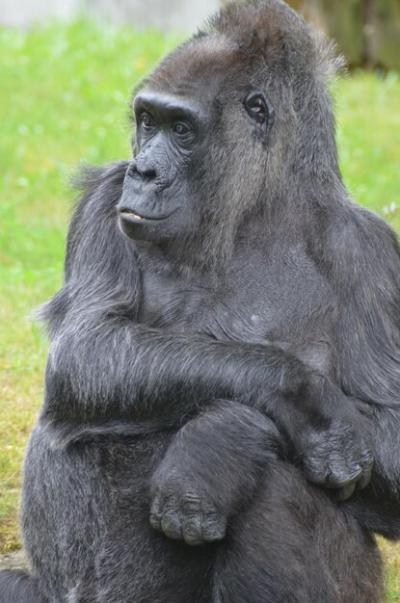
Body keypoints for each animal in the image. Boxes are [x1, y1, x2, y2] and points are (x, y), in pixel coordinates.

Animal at [0, 1, 400, 603]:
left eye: (182, 129)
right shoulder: (105, 198)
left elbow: (392, 436)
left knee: (283, 483)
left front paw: (221, 442)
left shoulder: (374, 256)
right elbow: (87, 349)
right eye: (147, 121)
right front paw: (287, 402)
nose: (144, 171)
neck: (249, 216)